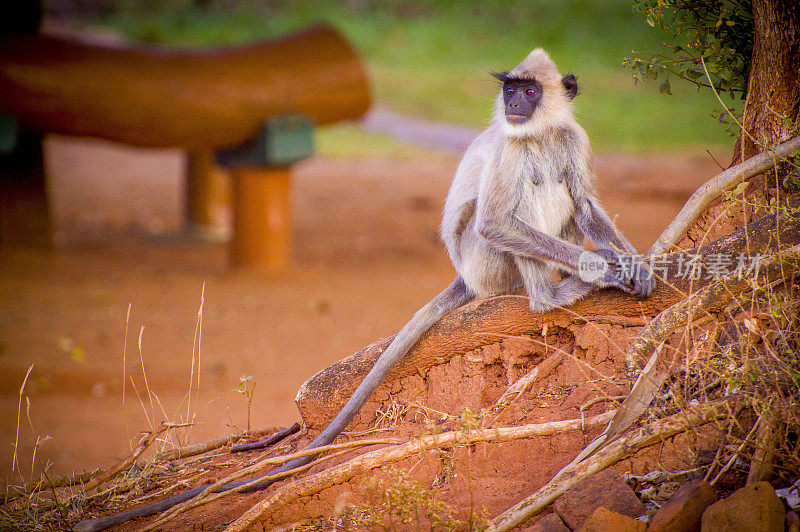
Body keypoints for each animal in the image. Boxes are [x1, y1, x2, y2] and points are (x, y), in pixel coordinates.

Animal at [73, 47, 648, 528]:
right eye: (511, 88)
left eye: (528, 91)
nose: (511, 102)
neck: (541, 132)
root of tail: (463, 275)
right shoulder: (510, 149)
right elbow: (496, 219)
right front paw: (603, 270)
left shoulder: (572, 139)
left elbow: (587, 203)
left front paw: (636, 265)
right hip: (486, 264)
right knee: (509, 208)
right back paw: (548, 296)